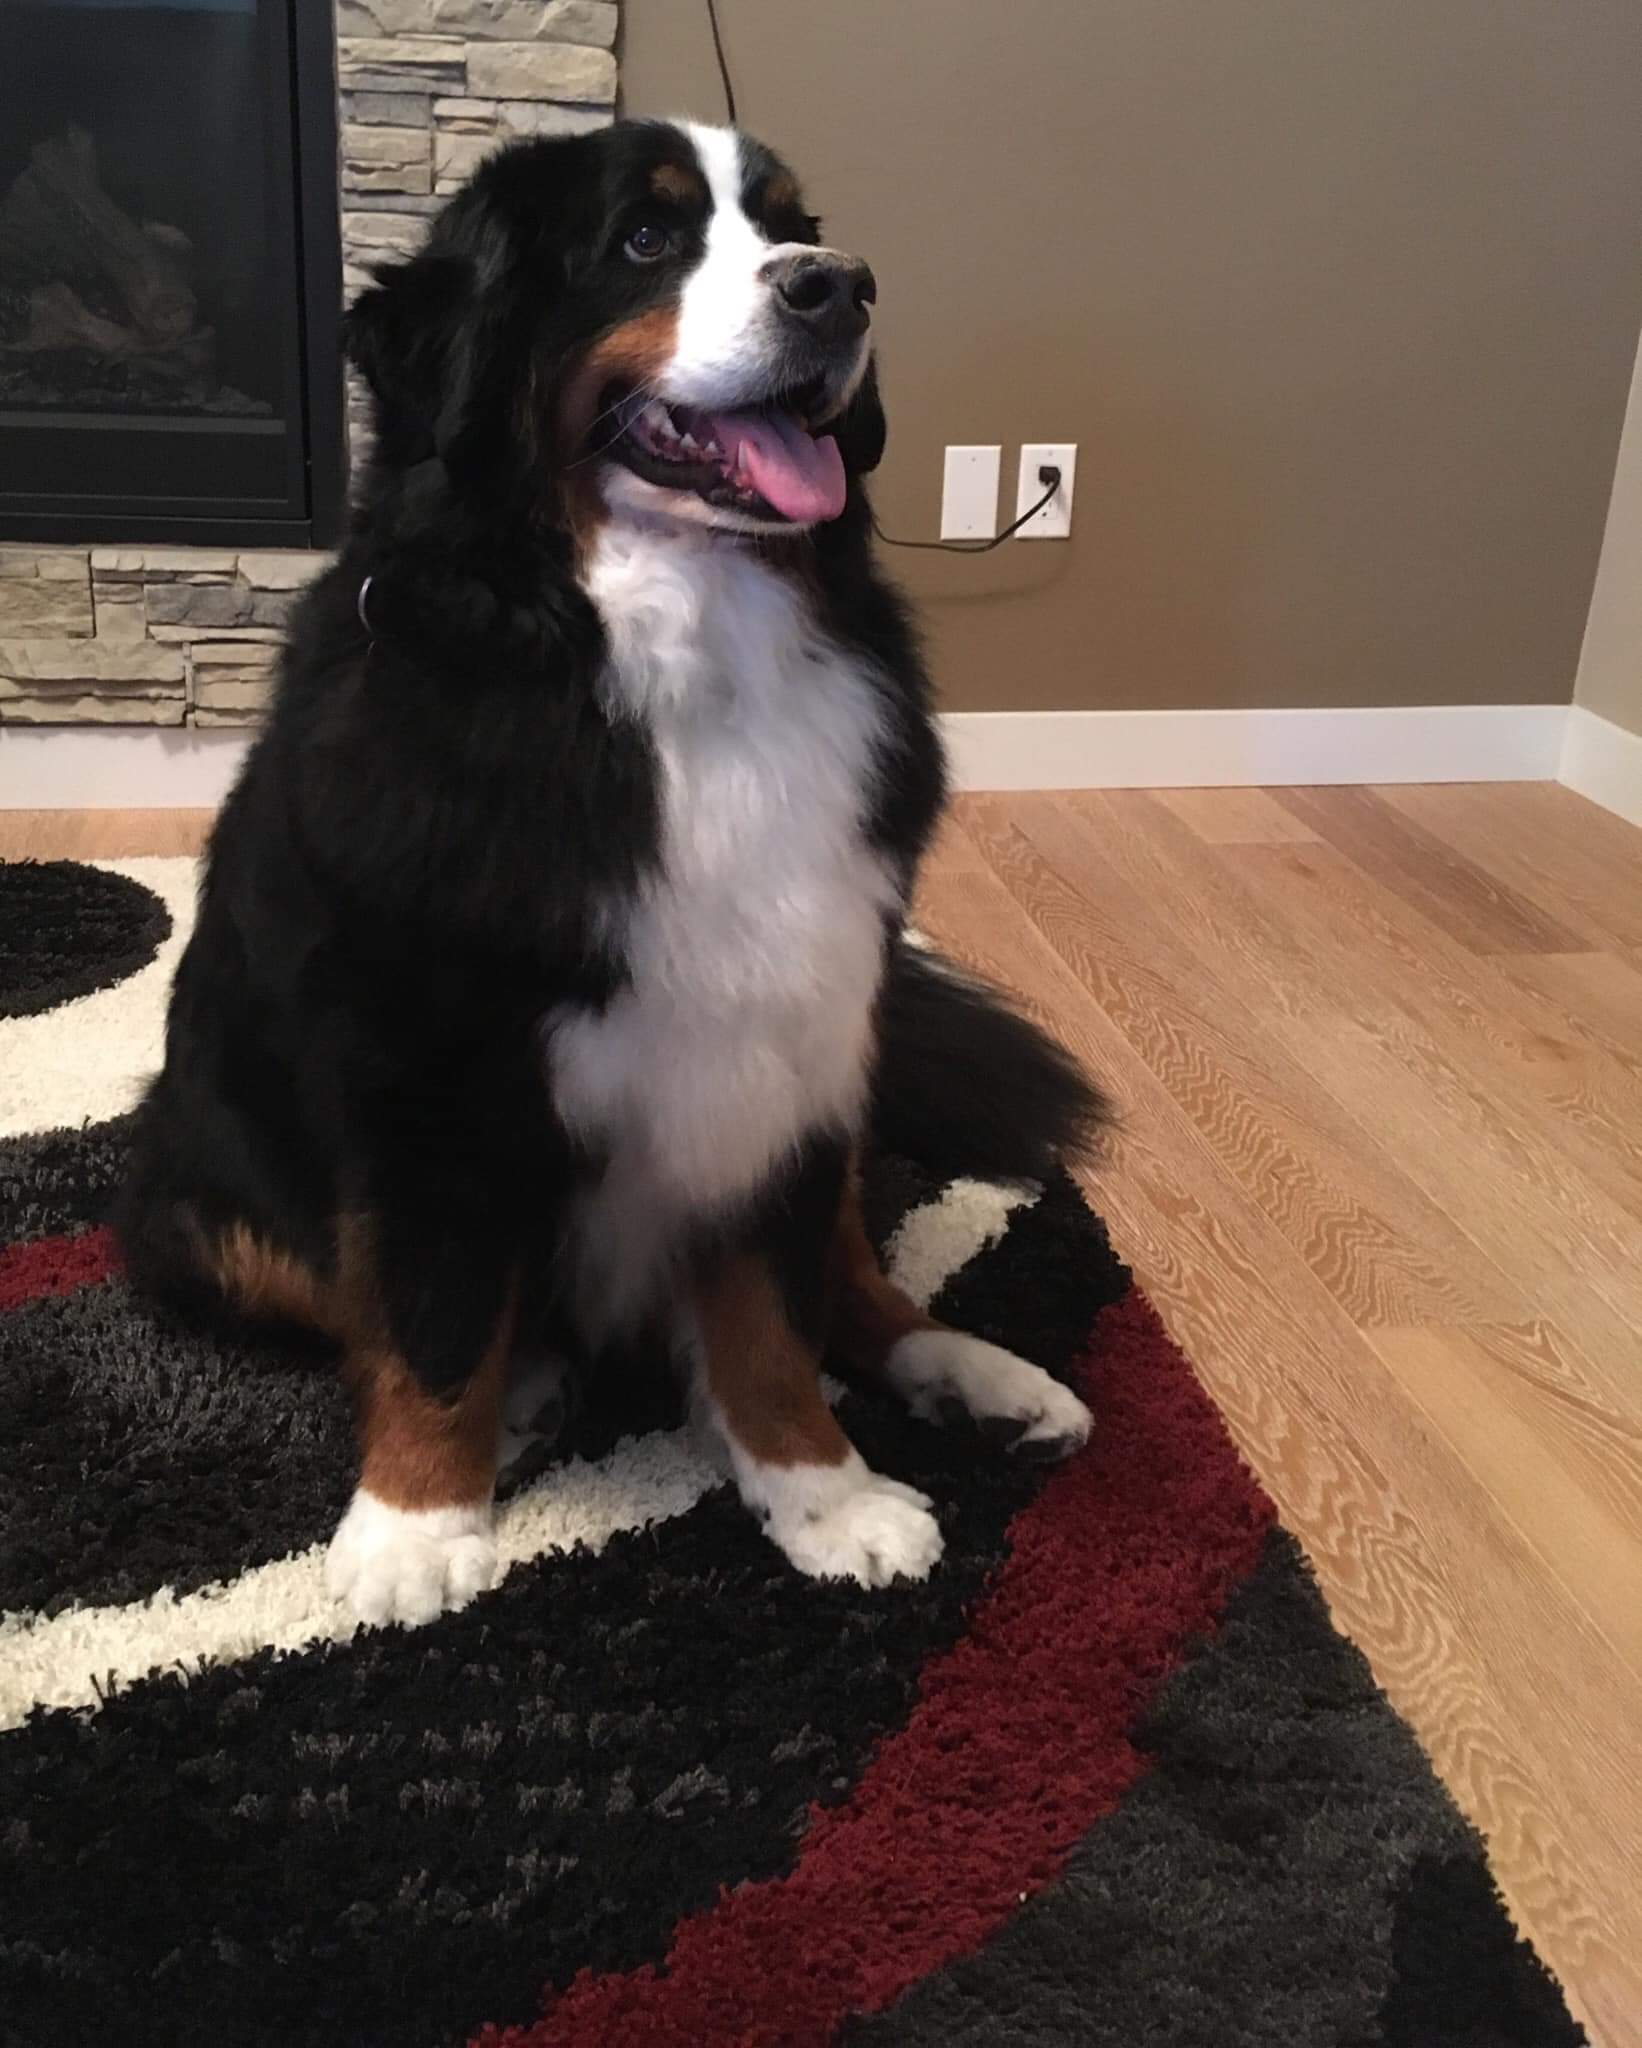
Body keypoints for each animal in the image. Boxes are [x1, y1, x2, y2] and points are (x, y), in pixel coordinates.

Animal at [117, 119, 1108, 1628]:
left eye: (789, 226)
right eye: (644, 240)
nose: (838, 287)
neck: (678, 658)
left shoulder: (789, 1041)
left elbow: (770, 1310)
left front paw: (821, 1491)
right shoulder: (422, 1065)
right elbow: (430, 1304)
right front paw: (415, 1522)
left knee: (853, 1271)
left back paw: (975, 1372)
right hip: (205, 1192)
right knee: (360, 1294)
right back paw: (522, 1389)